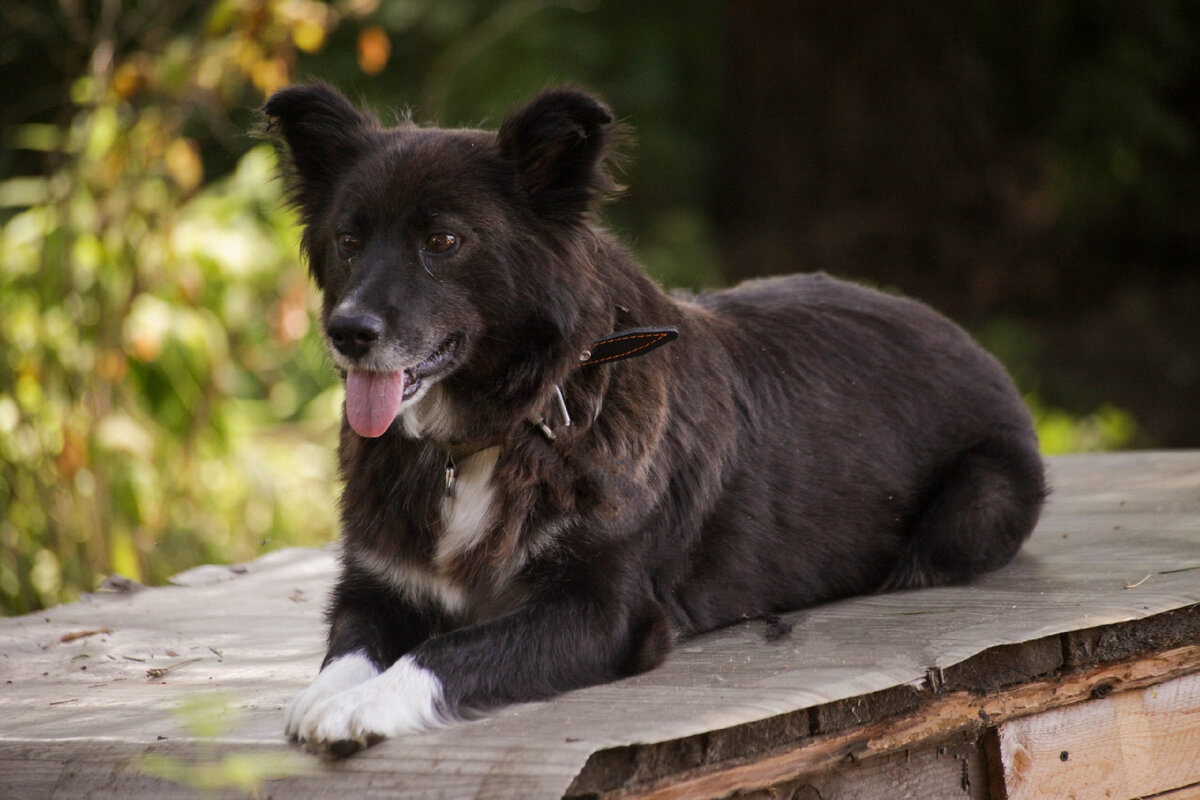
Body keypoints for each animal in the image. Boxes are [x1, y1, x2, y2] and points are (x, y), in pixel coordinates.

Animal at [260, 87, 1041, 758]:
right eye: (349, 241)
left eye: (444, 242)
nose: (347, 331)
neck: (504, 427)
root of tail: (960, 333)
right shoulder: (376, 583)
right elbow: (347, 646)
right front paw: (327, 694)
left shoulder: (603, 610)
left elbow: (448, 648)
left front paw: (365, 705)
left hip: (979, 501)